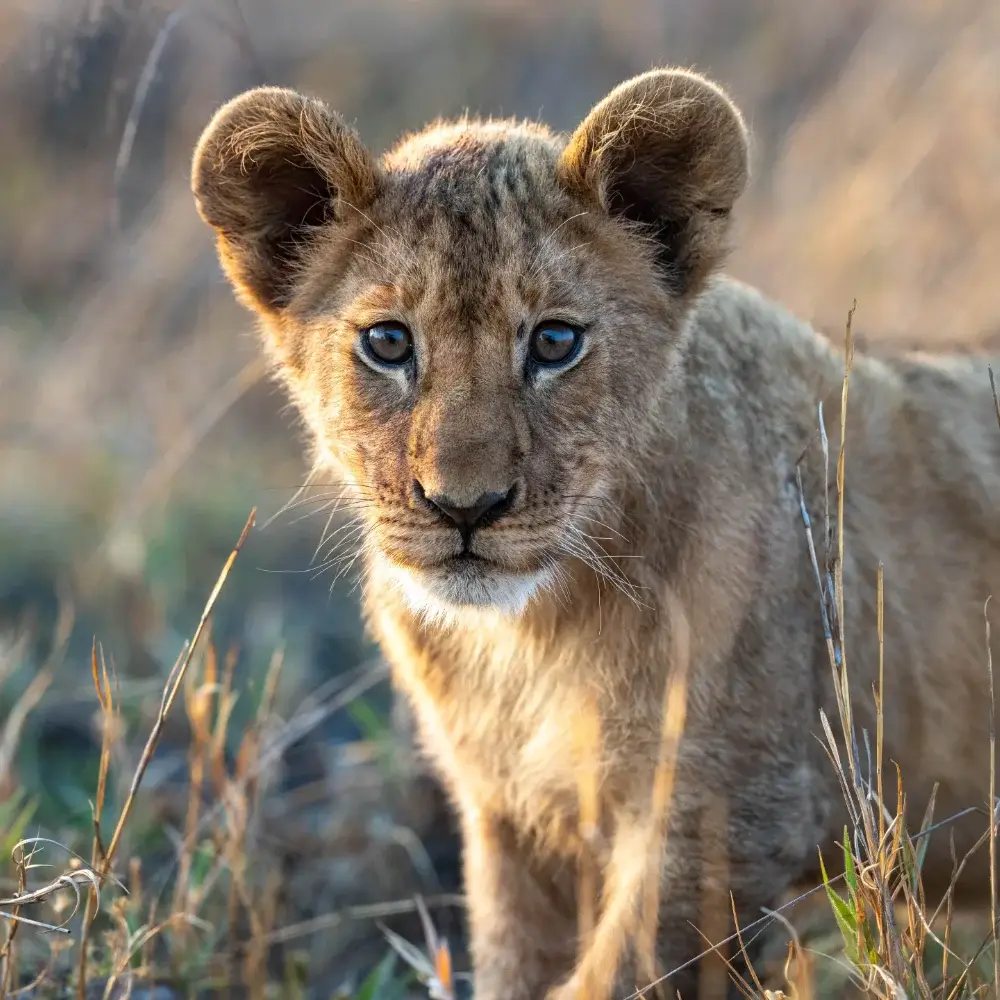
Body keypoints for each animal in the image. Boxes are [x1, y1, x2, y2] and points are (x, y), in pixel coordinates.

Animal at [191, 68, 1000, 999]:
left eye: (554, 341)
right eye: (389, 342)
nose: (465, 507)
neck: (530, 636)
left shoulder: (721, 822)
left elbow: (612, 978)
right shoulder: (510, 822)